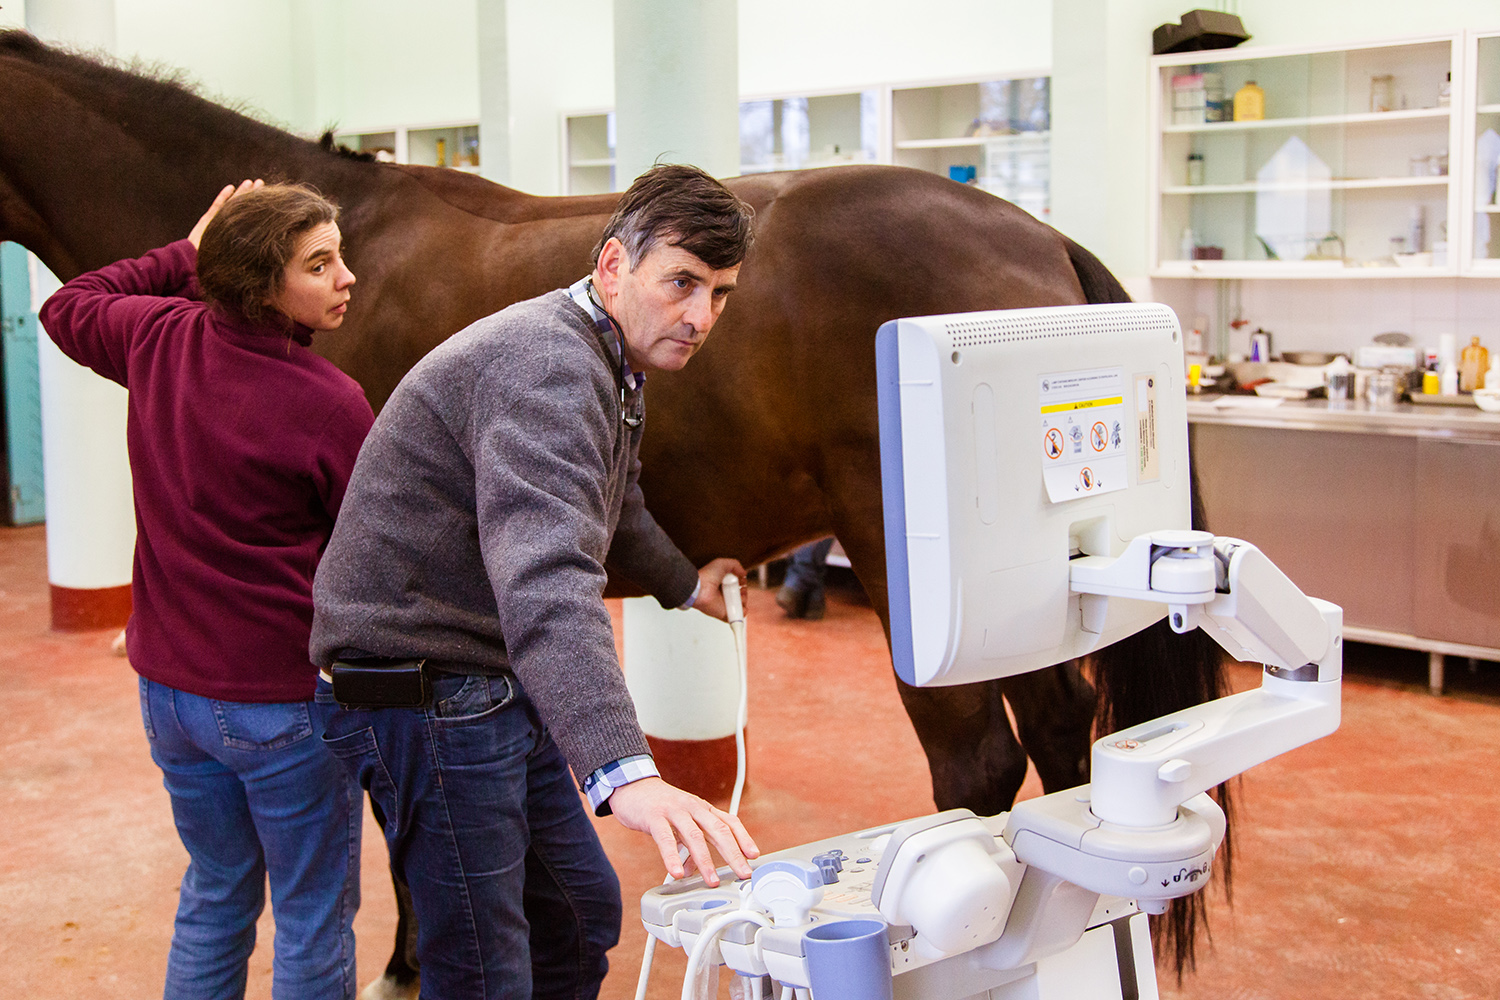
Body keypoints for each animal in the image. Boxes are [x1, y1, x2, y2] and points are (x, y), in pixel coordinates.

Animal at [0, 29, 1230, 983]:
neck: (334, 253)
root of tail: (1035, 235)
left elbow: (388, 801)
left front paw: (408, 954)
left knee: (975, 765)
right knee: (1061, 733)